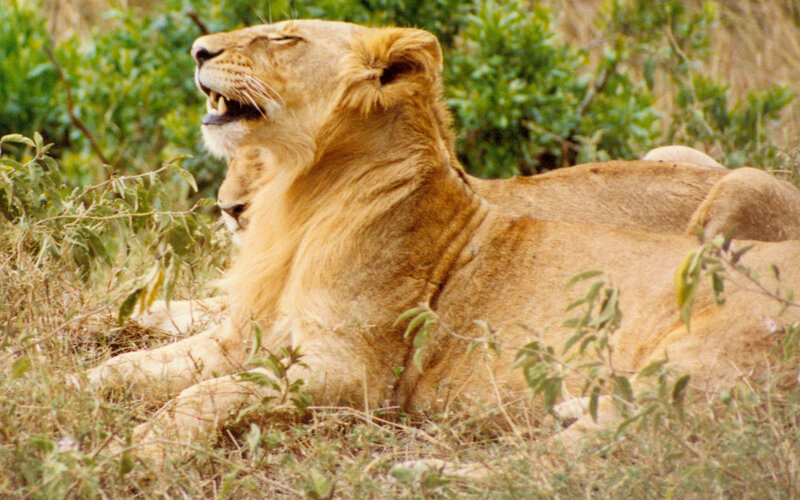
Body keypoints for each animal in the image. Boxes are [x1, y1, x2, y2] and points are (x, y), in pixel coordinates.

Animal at [88, 20, 800, 460]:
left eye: (283, 37)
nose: (198, 50)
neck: (299, 203)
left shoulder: (355, 376)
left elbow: (210, 392)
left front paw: (140, 447)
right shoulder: (242, 337)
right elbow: (124, 368)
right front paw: (81, 381)